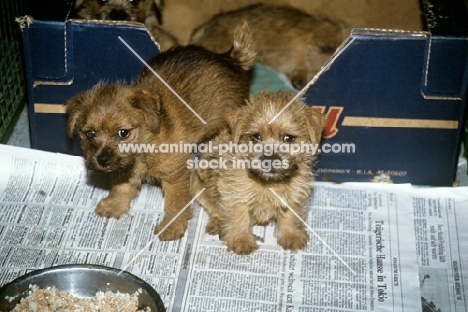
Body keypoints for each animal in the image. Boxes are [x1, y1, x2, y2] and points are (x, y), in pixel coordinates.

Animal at [66, 20, 256, 241]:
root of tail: (230, 59)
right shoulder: (125, 169)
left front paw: (171, 227)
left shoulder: (175, 176)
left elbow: (175, 204)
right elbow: (122, 186)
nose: (102, 160)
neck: (147, 142)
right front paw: (114, 205)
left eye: (123, 133)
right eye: (90, 134)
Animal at [192, 89, 324, 255]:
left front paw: (291, 235)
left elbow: (290, 217)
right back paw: (216, 223)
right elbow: (239, 218)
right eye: (256, 136)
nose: (269, 159)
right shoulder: (236, 196)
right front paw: (241, 240)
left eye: (288, 138)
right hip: (199, 187)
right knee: (212, 208)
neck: (268, 183)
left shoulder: (295, 195)